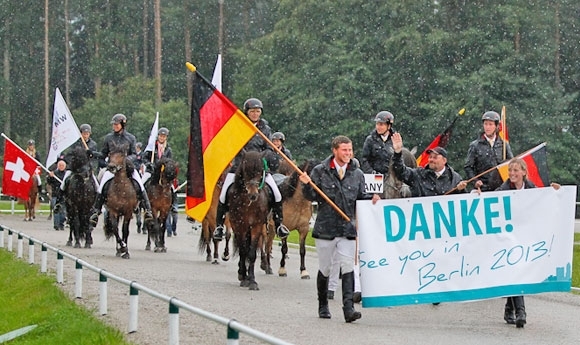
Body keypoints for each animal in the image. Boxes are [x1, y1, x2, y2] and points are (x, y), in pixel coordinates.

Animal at [228, 150, 270, 290]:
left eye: (260, 171)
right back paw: (241, 274)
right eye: (245, 170)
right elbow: (243, 251)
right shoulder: (239, 226)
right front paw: (244, 277)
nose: (253, 195)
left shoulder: (257, 226)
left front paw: (252, 281)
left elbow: (251, 253)